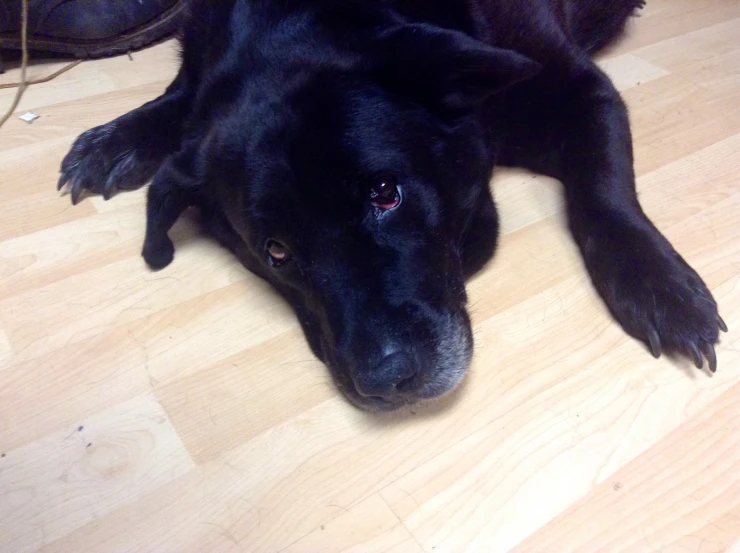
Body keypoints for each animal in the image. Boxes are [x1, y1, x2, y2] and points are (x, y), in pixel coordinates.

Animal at [56, 0, 724, 408]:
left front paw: (658, 284)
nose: (387, 381)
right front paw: (119, 137)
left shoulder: (580, 89)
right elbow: (181, 95)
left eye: (385, 194)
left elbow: (603, 193)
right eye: (275, 252)